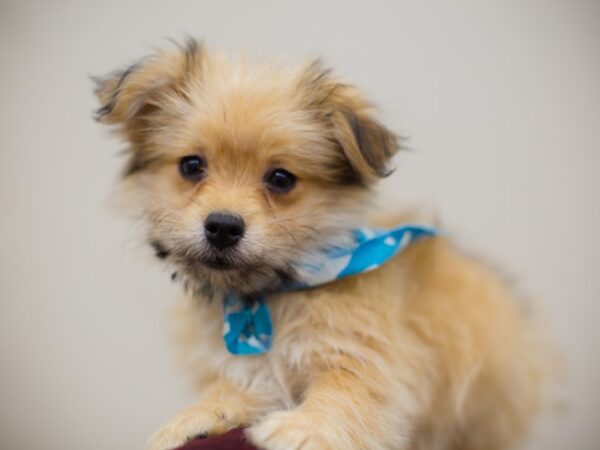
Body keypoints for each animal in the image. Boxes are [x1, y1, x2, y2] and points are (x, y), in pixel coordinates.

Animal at [96, 39, 552, 450]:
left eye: (281, 179)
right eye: (192, 166)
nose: (223, 226)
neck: (270, 298)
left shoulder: (372, 363)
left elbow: (345, 397)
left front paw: (301, 428)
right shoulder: (256, 372)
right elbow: (230, 390)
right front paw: (192, 419)